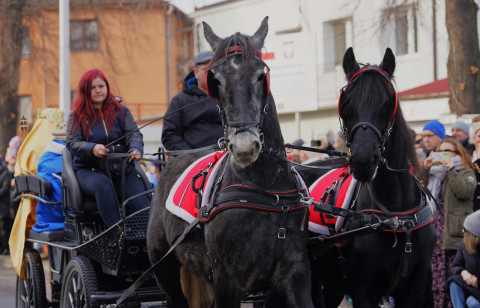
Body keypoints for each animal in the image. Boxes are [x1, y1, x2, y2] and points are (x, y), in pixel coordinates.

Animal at [146, 16, 316, 308]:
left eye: (261, 76)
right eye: (216, 80)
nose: (244, 146)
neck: (266, 193)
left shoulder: (296, 272)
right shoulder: (227, 279)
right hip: (165, 269)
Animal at [310, 47, 436, 306]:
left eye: (387, 102)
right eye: (346, 104)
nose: (363, 159)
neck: (397, 217)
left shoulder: (415, 289)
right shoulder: (362, 291)